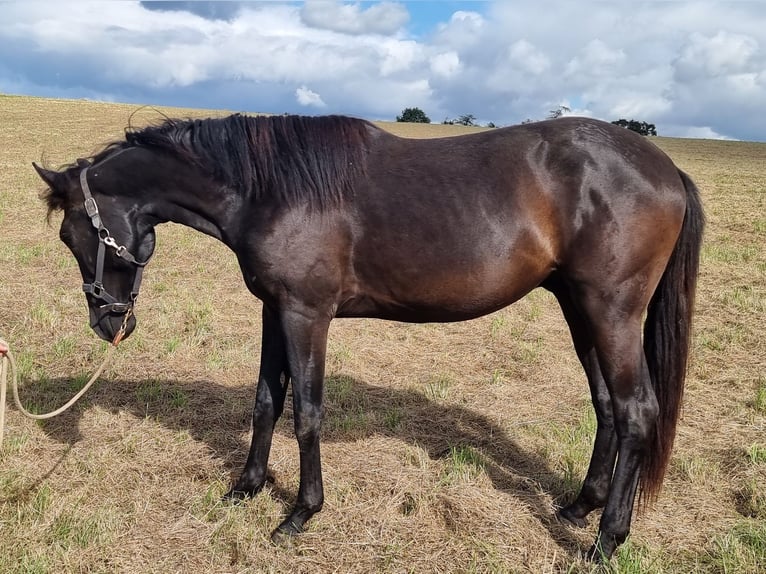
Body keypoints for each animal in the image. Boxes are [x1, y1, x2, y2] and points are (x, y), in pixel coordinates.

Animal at [37, 113, 708, 564]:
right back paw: (579, 506)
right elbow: (266, 401)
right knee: (607, 406)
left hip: (612, 310)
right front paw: (245, 488)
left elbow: (306, 412)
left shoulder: (306, 314)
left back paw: (606, 540)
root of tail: (665, 168)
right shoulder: (274, 311)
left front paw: (300, 513)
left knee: (636, 410)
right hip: (579, 307)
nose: (108, 323)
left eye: (76, 236)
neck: (269, 189)